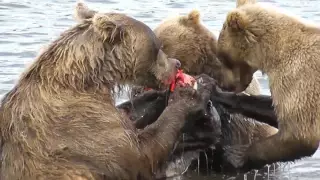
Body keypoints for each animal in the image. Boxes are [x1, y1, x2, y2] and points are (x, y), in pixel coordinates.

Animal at [0, 2, 211, 180]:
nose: (177, 64)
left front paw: (155, 96)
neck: (88, 79)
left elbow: (130, 116)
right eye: (158, 46)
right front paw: (188, 95)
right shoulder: (80, 127)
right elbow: (140, 151)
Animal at [215, 0, 320, 172]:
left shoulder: (300, 78)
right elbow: (272, 108)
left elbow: (299, 135)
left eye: (222, 57)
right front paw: (218, 94)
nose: (223, 84)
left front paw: (236, 156)